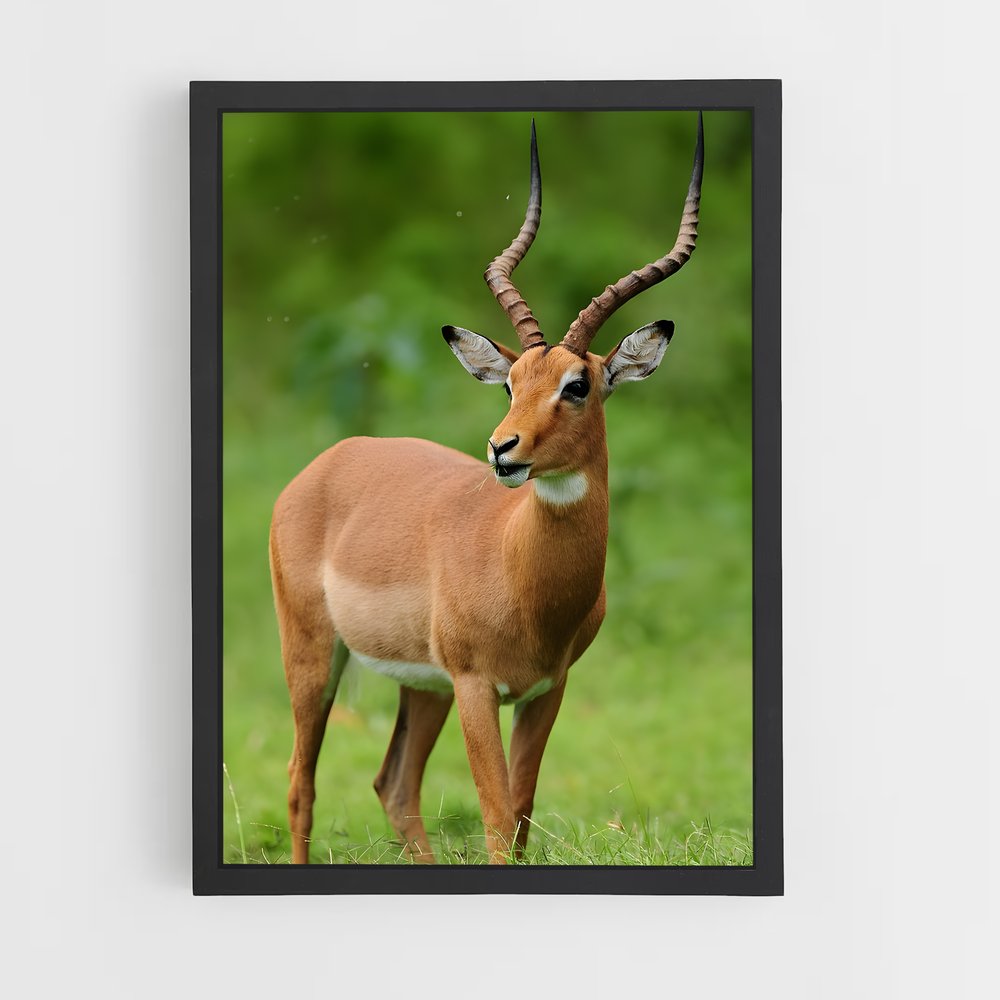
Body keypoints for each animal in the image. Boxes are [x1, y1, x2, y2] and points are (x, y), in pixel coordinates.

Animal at [270, 114, 704, 864]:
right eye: (511, 383)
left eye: (577, 385)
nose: (504, 449)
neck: (520, 569)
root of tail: (327, 462)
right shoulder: (477, 688)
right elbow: (498, 814)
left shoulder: (545, 689)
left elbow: (523, 812)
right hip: (314, 654)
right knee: (302, 780)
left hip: (423, 687)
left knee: (394, 784)